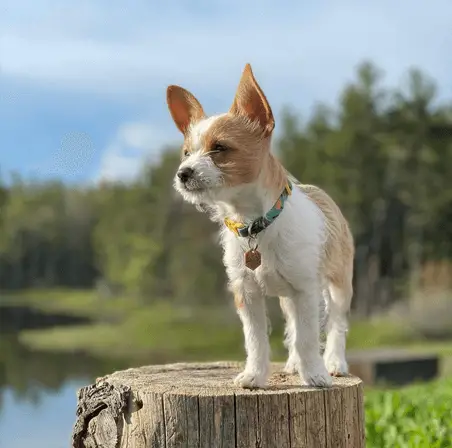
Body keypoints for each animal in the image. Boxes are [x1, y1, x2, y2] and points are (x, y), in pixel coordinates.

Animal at [166, 63, 354, 388]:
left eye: (219, 148)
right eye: (186, 153)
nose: (183, 173)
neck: (256, 224)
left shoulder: (306, 290)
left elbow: (308, 337)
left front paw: (315, 375)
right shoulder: (247, 294)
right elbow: (256, 340)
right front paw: (254, 375)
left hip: (339, 285)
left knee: (336, 324)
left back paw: (334, 363)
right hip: (288, 298)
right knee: (293, 328)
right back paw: (293, 365)